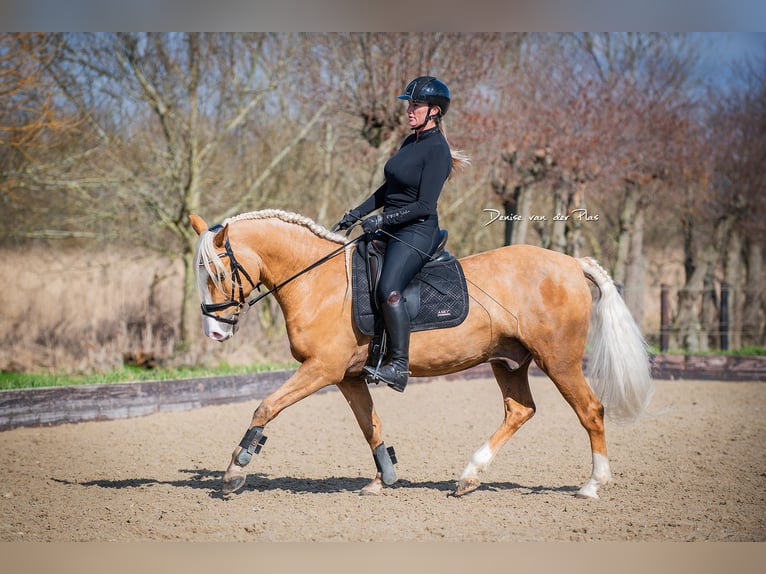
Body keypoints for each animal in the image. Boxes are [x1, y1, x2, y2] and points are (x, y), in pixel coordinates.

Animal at [190, 210, 656, 500]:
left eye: (218, 272)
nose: (214, 330)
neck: (319, 281)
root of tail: (572, 264)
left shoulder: (322, 369)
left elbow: (266, 407)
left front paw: (235, 471)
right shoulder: (347, 376)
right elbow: (370, 425)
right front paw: (385, 478)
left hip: (558, 361)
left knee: (590, 410)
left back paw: (591, 485)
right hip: (508, 361)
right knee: (520, 410)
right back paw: (469, 477)